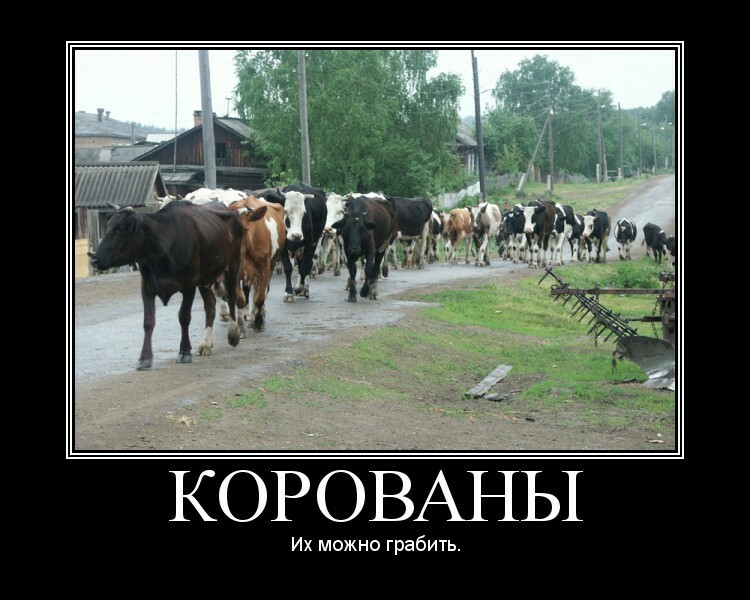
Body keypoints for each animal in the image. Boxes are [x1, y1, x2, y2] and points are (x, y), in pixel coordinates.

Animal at [87, 201, 244, 370]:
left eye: (121, 228)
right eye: (108, 226)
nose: (94, 260)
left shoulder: (189, 284)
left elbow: (184, 317)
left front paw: (184, 352)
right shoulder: (147, 286)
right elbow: (148, 321)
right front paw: (145, 357)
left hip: (233, 266)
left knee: (232, 298)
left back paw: (233, 334)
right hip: (205, 279)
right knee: (210, 306)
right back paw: (206, 343)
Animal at [222, 196, 286, 333]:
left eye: (245, 230)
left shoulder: (265, 267)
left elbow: (260, 297)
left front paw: (258, 322)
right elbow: (240, 300)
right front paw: (240, 328)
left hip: (271, 265)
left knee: (262, 291)